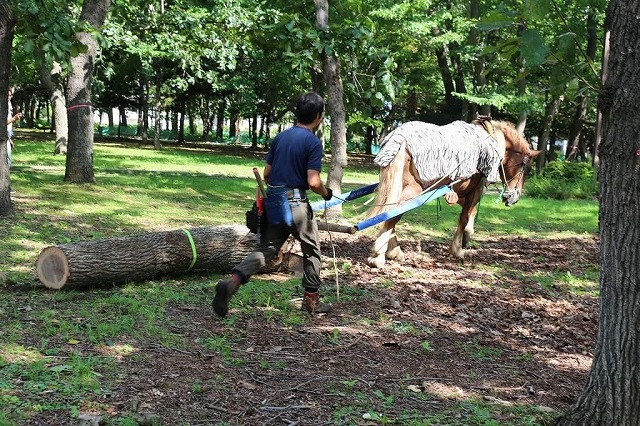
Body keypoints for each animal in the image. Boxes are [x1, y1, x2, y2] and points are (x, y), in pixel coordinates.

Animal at [364, 118, 540, 268]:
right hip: (414, 191)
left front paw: (466, 237)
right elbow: (464, 217)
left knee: (389, 212)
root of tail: (399, 138)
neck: (492, 139)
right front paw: (457, 249)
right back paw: (379, 256)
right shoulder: (476, 191)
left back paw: (393, 252)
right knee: (392, 214)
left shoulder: (460, 192)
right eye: (527, 168)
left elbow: (470, 215)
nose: (514, 197)